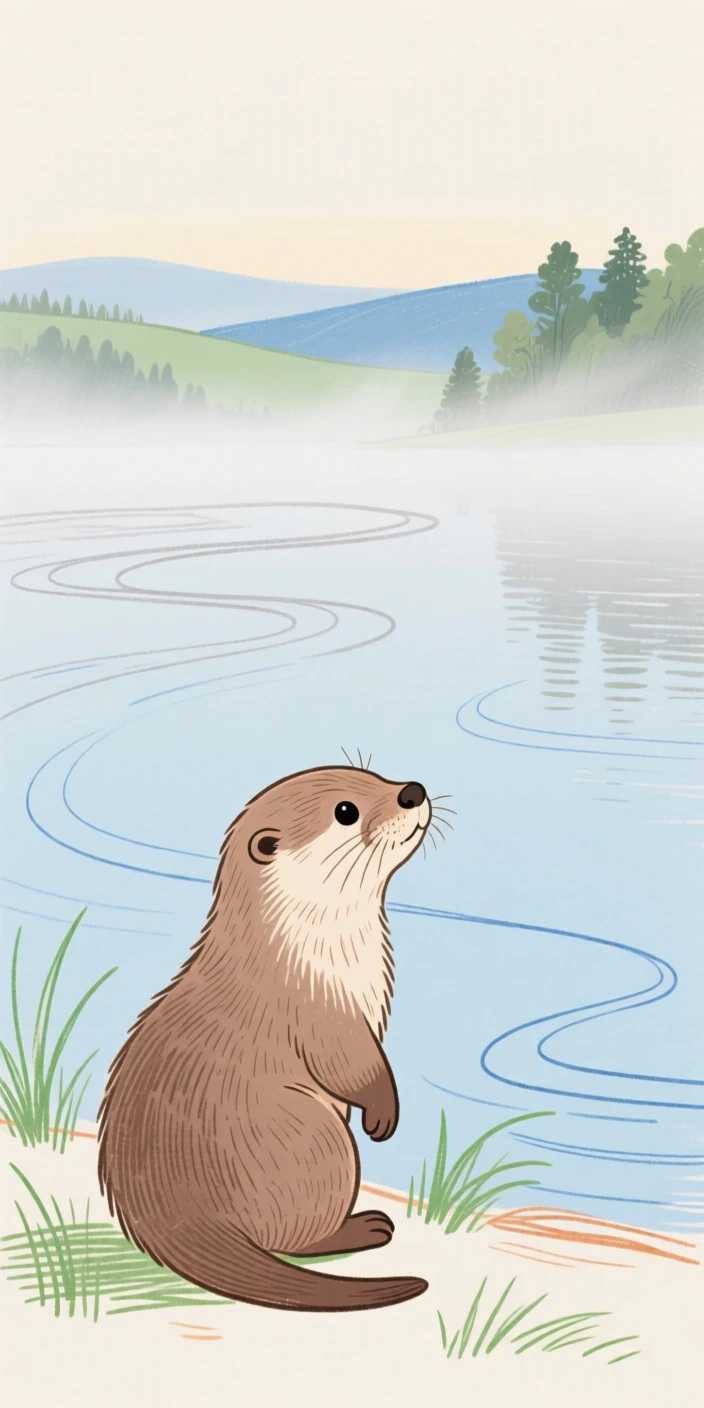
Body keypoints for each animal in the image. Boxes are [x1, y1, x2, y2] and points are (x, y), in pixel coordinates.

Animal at [98, 765, 433, 1312]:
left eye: (373, 774)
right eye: (346, 811)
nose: (413, 791)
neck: (299, 945)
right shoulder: (319, 1011)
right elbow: (353, 1067)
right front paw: (383, 1117)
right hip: (316, 1139)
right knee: (294, 1237)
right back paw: (363, 1228)